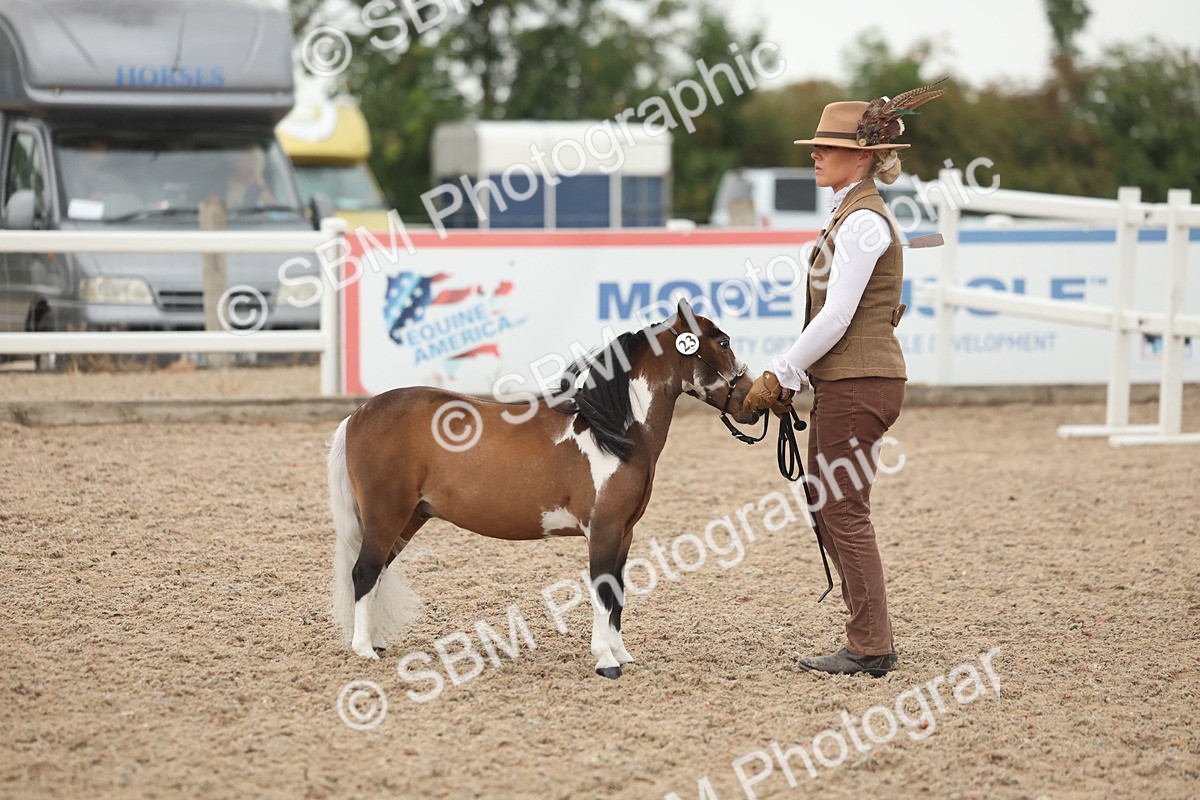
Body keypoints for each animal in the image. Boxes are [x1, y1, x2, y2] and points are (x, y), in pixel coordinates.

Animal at [328, 298, 762, 678]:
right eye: (723, 343)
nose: (754, 404)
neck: (613, 431)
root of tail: (357, 414)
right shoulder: (603, 531)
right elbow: (603, 590)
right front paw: (606, 660)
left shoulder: (625, 532)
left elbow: (618, 593)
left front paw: (622, 653)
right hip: (387, 515)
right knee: (365, 571)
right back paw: (364, 649)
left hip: (408, 519)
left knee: (377, 572)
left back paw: (376, 641)